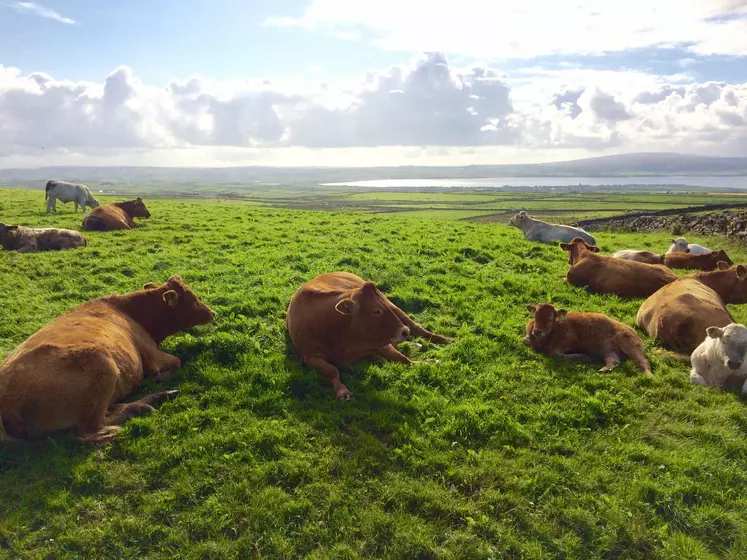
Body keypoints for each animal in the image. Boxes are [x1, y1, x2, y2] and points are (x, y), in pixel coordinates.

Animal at [0, 274, 215, 442]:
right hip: (101, 363)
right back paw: (142, 407)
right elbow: (175, 362)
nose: (212, 313)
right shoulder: (152, 355)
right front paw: (161, 378)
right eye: (195, 299)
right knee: (90, 431)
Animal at [284, 272, 450, 400]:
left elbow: (405, 359)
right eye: (376, 311)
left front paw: (428, 362)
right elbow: (332, 370)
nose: (404, 332)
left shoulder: (381, 343)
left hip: (398, 310)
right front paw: (342, 391)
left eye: (384, 308)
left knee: (418, 329)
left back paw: (446, 340)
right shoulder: (310, 356)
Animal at [524, 302, 652, 376]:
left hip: (631, 346)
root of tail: (633, 331)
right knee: (613, 360)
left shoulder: (570, 340)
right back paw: (604, 369)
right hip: (609, 351)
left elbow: (554, 353)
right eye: (535, 316)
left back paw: (649, 376)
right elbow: (525, 340)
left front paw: (582, 356)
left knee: (643, 361)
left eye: (550, 319)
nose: (537, 331)